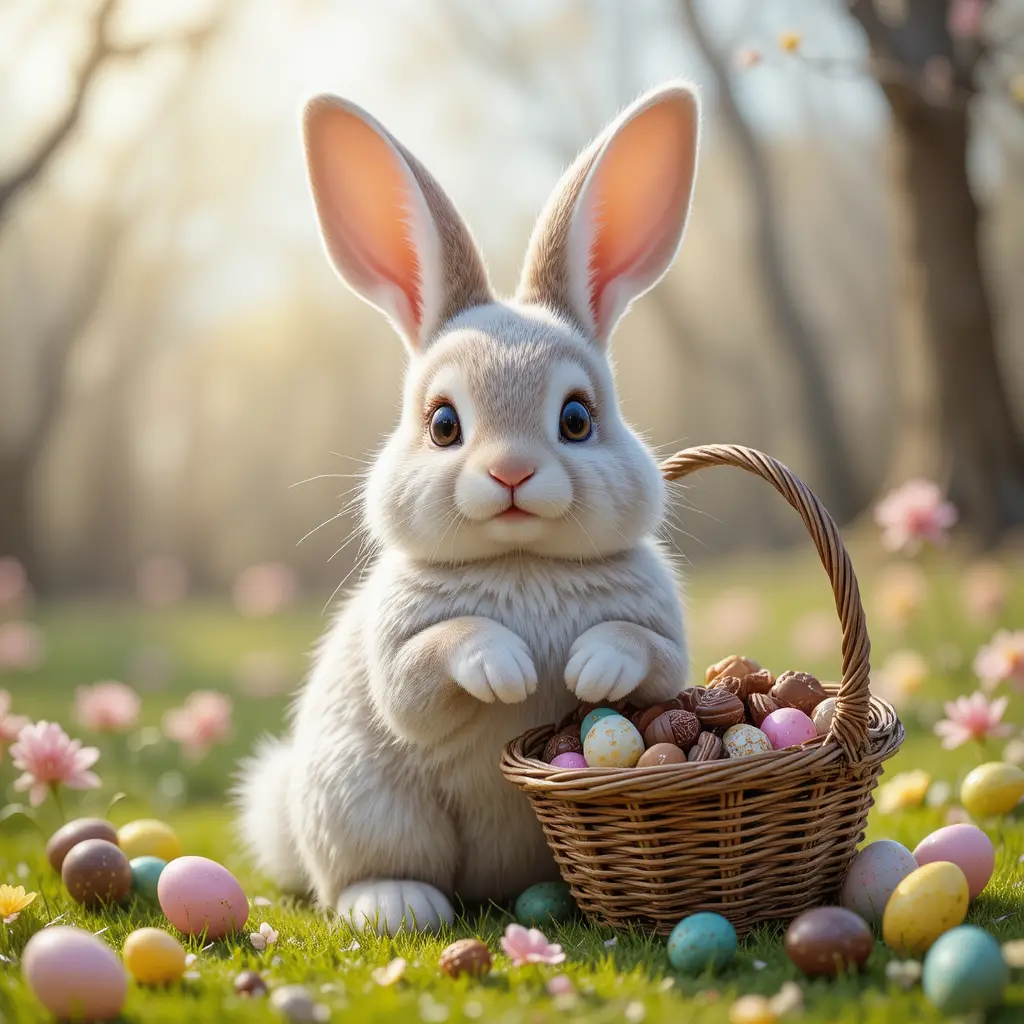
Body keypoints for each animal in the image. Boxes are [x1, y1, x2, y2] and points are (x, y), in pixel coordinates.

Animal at [235, 81, 701, 935]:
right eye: (443, 424)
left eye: (577, 418)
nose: (511, 471)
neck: (519, 561)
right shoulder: (399, 651)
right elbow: (426, 669)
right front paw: (505, 667)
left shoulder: (665, 642)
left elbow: (647, 657)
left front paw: (589, 664)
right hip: (371, 807)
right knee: (367, 874)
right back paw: (394, 904)